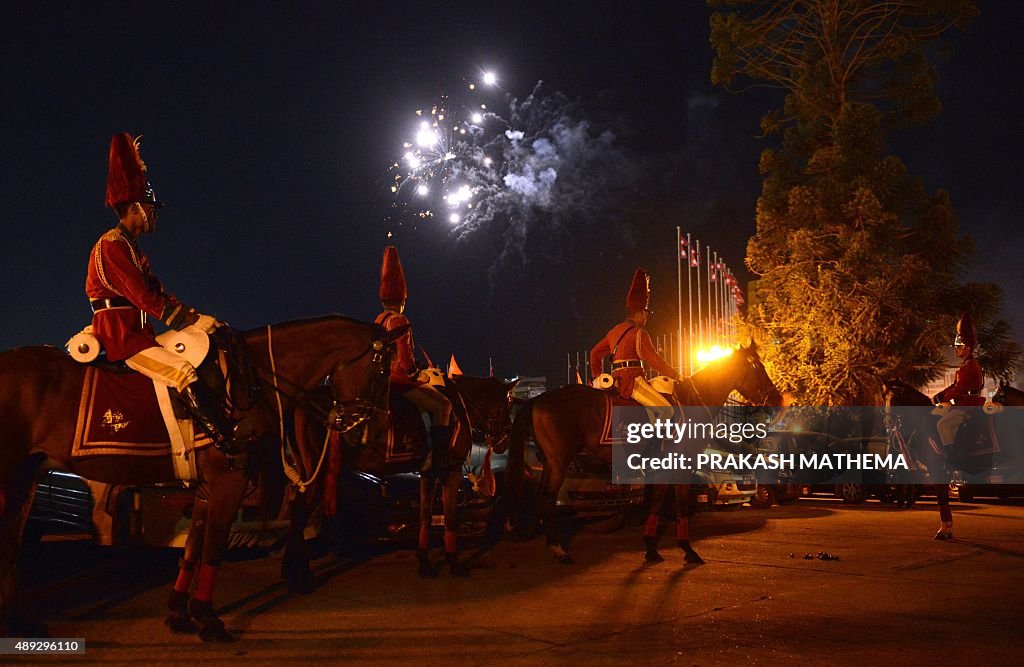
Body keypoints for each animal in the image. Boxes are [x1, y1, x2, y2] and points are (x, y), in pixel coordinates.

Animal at [0, 317, 401, 643]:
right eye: (382, 372)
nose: (361, 429)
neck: (249, 379)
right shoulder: (229, 480)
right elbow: (214, 548)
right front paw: (208, 618)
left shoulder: (208, 488)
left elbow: (193, 547)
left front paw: (180, 612)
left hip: (25, 478)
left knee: (12, 547)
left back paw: (21, 622)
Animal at [290, 372, 520, 577]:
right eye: (507, 404)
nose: (506, 439)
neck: (460, 405)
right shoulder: (451, 470)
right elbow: (450, 516)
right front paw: (454, 562)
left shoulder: (428, 473)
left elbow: (426, 515)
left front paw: (424, 562)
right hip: (318, 472)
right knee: (300, 513)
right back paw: (300, 575)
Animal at [505, 342, 782, 565]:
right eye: (757, 367)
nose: (777, 399)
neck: (693, 400)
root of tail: (539, 399)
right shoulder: (681, 465)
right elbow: (677, 503)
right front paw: (686, 549)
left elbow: (657, 501)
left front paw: (651, 547)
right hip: (559, 461)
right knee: (547, 498)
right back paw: (558, 550)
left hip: (551, 462)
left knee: (542, 498)